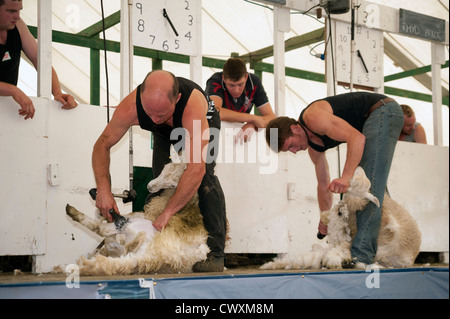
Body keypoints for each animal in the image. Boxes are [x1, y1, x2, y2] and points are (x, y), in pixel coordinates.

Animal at [64, 148, 209, 276]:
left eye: (173, 184)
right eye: (165, 167)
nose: (150, 186)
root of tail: (152, 259)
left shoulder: (150, 216)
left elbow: (125, 216)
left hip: (137, 226)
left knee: (103, 230)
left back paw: (72, 211)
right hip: (125, 247)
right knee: (109, 243)